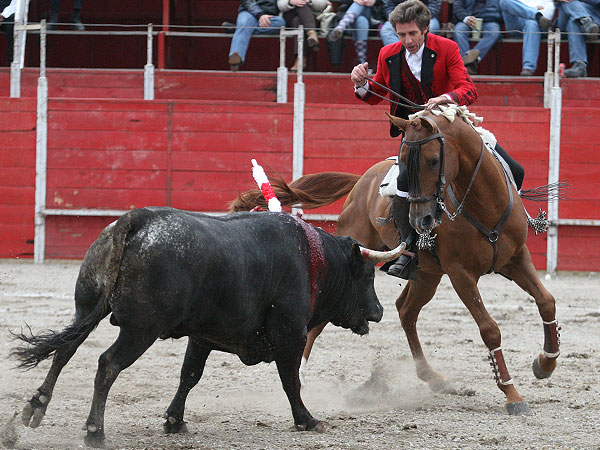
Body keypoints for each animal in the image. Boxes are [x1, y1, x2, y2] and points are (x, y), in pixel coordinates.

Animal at [11, 207, 404, 447]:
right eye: (367, 275)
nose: (379, 311)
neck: (315, 260)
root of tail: (135, 220)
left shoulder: (201, 338)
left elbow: (189, 375)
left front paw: (174, 421)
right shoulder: (289, 336)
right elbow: (291, 380)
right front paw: (307, 420)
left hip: (84, 308)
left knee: (65, 348)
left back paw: (36, 407)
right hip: (141, 329)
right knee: (108, 364)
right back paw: (95, 431)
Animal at [230, 107, 561, 414]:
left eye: (433, 160)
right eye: (404, 163)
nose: (420, 220)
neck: (483, 204)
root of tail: (360, 182)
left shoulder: (516, 258)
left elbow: (546, 301)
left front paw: (545, 363)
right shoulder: (461, 274)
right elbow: (489, 328)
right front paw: (512, 395)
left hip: (428, 275)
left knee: (406, 310)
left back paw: (434, 378)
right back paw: (300, 374)